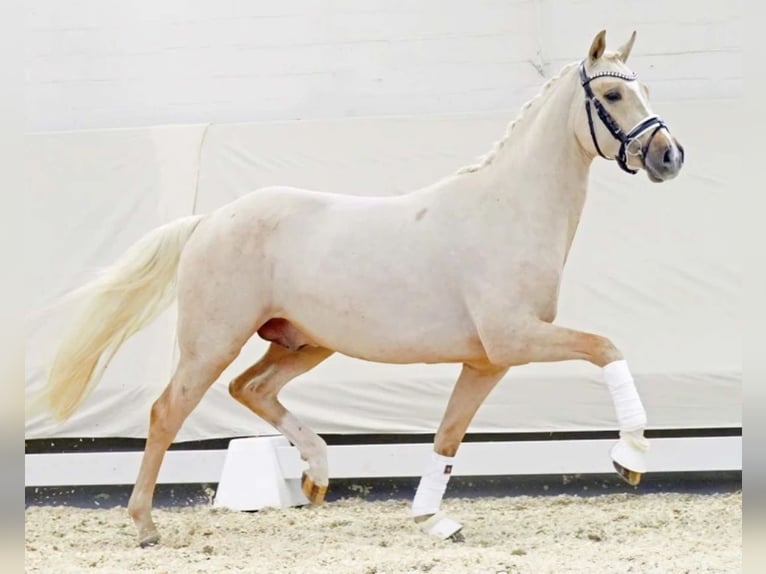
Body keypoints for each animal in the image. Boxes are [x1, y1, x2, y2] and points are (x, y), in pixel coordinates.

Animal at [37, 29, 685, 545]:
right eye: (612, 95)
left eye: (647, 88)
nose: (670, 155)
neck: (508, 211)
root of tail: (210, 219)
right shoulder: (515, 340)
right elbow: (606, 347)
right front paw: (630, 456)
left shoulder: (486, 361)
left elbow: (448, 437)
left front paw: (434, 520)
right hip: (212, 342)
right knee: (168, 410)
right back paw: (146, 526)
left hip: (304, 342)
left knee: (251, 388)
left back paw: (317, 474)